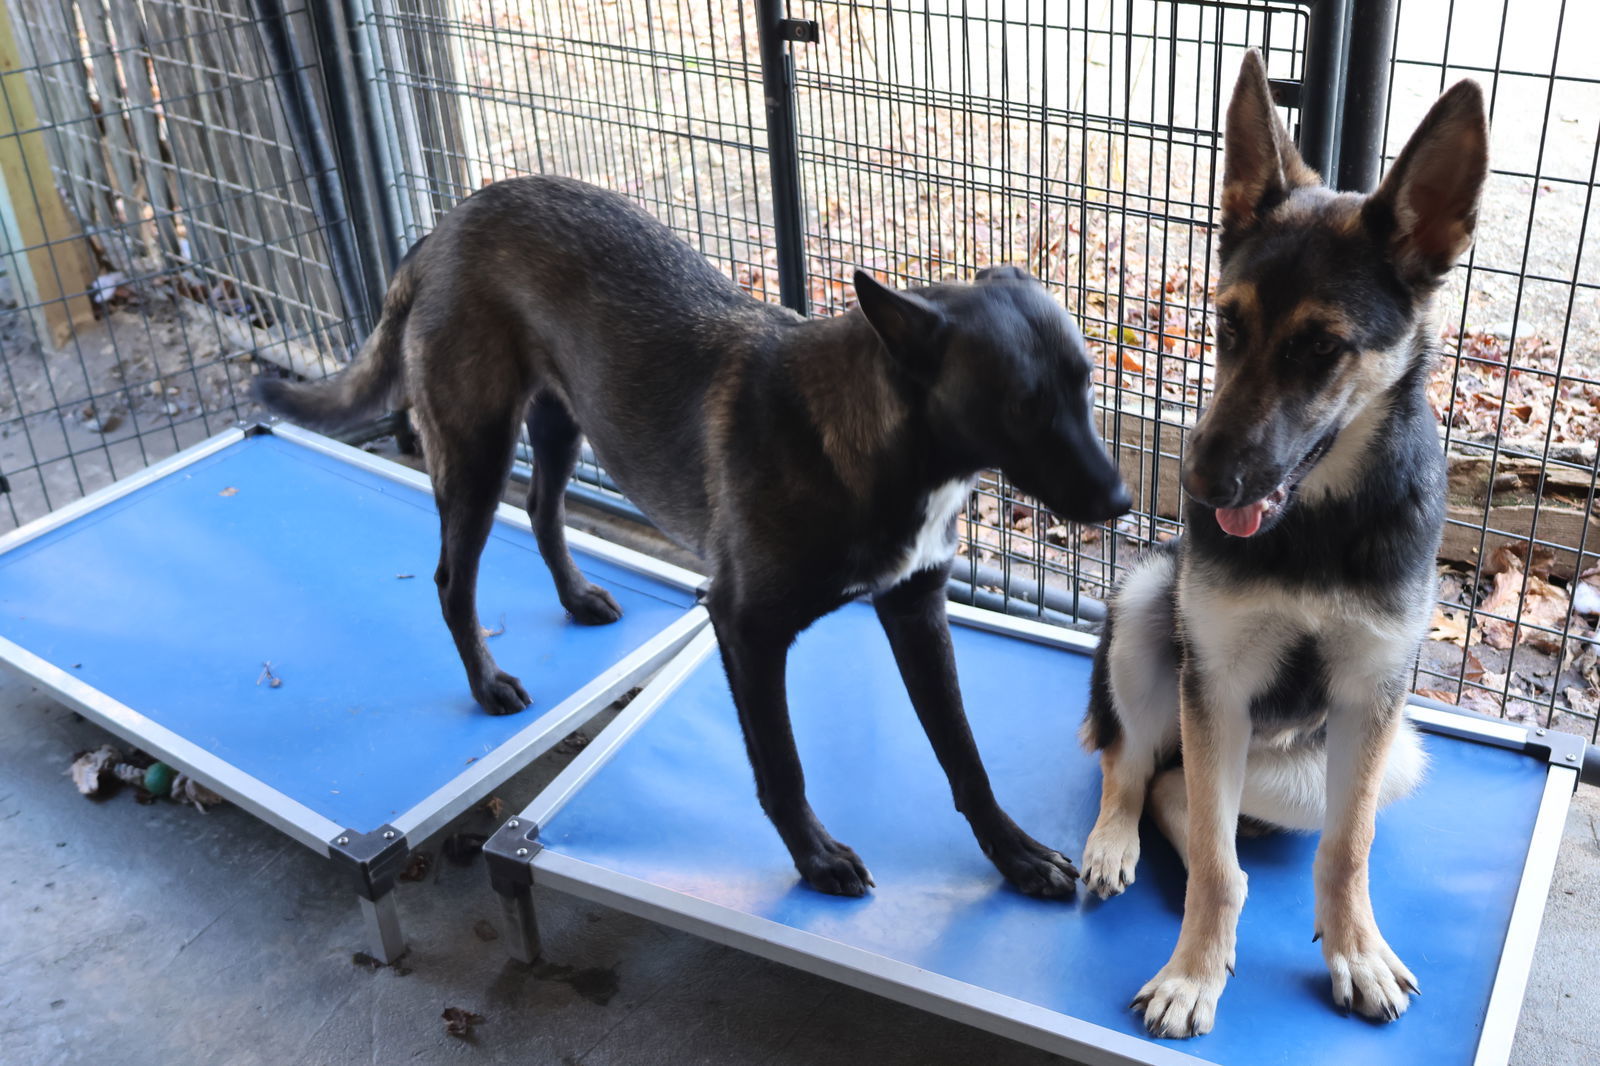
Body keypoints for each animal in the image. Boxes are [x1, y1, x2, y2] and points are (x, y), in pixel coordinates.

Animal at [252, 174, 1126, 896]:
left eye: (1087, 384)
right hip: (476, 452)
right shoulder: (745, 628)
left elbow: (964, 756)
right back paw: (487, 681)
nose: (1121, 501)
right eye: (1022, 406)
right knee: (452, 579)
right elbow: (782, 764)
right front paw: (815, 858)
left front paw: (1014, 855)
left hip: (564, 422)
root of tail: (446, 227)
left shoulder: (915, 612)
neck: (871, 443)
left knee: (542, 510)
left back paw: (577, 598)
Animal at [1081, 47, 1491, 1030]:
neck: (1319, 520)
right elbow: (1214, 860)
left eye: (1321, 348)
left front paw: (1356, 952)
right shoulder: (1216, 685)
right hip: (1149, 615)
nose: (1199, 490)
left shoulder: (1372, 695)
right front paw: (1195, 970)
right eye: (1226, 324)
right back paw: (1115, 841)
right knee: (1136, 768)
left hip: (1389, 754)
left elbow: (1347, 848)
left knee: (1185, 790)